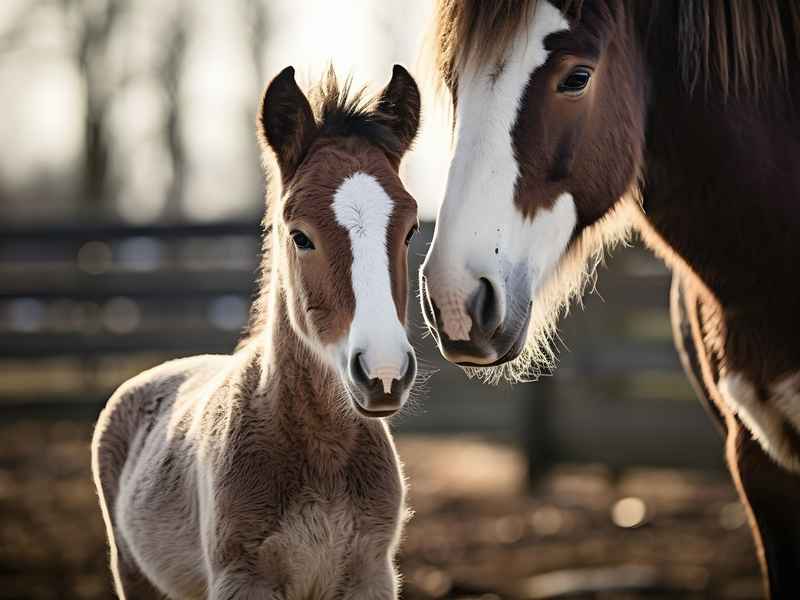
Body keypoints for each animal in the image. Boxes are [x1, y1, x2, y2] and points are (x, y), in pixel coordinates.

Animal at [91, 64, 422, 600]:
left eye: (411, 230)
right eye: (300, 235)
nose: (384, 373)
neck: (322, 453)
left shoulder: (371, 577)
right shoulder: (243, 579)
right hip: (134, 574)